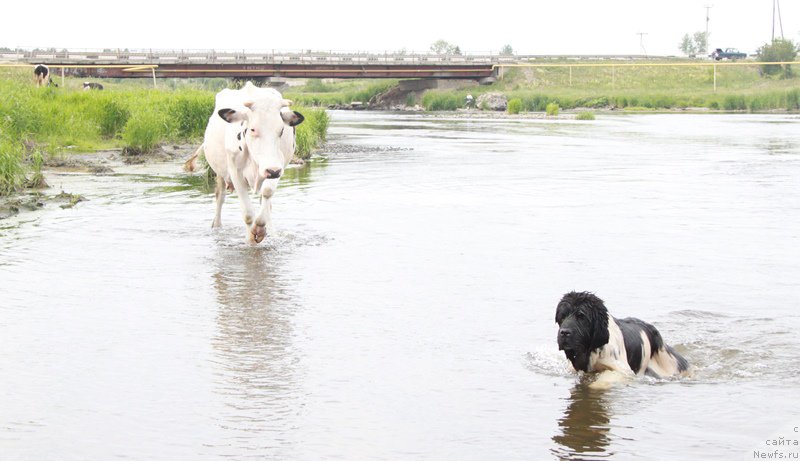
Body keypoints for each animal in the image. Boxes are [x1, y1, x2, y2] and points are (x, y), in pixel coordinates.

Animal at [186, 82, 304, 244]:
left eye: (281, 130)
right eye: (252, 129)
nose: (272, 171)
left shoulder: (278, 166)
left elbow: (267, 193)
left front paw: (261, 228)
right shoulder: (236, 171)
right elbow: (248, 214)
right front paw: (250, 240)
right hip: (220, 173)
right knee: (220, 196)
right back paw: (217, 226)